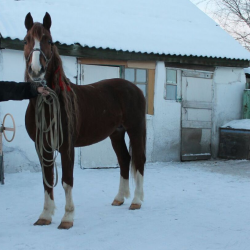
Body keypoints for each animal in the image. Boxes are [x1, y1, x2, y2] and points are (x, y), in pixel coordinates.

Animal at [23, 12, 146, 229]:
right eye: (26, 40)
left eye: (49, 40)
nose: (36, 70)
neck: (48, 105)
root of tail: (135, 88)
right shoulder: (42, 146)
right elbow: (47, 180)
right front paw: (45, 216)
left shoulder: (66, 146)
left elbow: (67, 181)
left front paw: (67, 218)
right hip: (116, 134)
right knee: (124, 160)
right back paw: (119, 198)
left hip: (135, 130)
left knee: (138, 160)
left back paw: (136, 201)